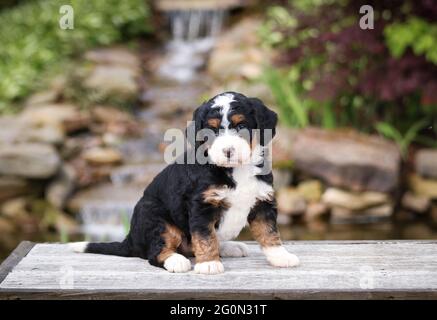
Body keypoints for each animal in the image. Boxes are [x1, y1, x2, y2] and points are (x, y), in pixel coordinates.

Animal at [70, 91, 298, 274]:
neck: (235, 169)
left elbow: (269, 232)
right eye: (211, 131)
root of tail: (131, 239)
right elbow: (205, 237)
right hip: (155, 217)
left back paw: (229, 247)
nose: (228, 151)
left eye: (241, 125)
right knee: (156, 252)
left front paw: (281, 256)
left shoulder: (262, 201)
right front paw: (209, 264)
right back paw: (176, 260)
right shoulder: (201, 205)